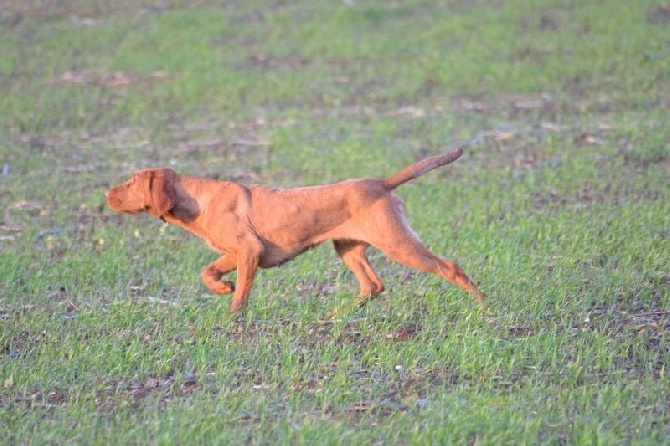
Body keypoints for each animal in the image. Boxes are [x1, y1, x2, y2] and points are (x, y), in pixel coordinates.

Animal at [105, 148, 484, 312]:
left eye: (131, 181)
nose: (107, 194)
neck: (196, 198)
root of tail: (381, 183)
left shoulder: (249, 251)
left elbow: (240, 298)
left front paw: (232, 318)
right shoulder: (239, 252)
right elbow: (207, 271)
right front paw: (222, 287)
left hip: (397, 243)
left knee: (451, 268)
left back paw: (484, 307)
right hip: (347, 248)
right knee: (372, 286)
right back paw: (337, 315)